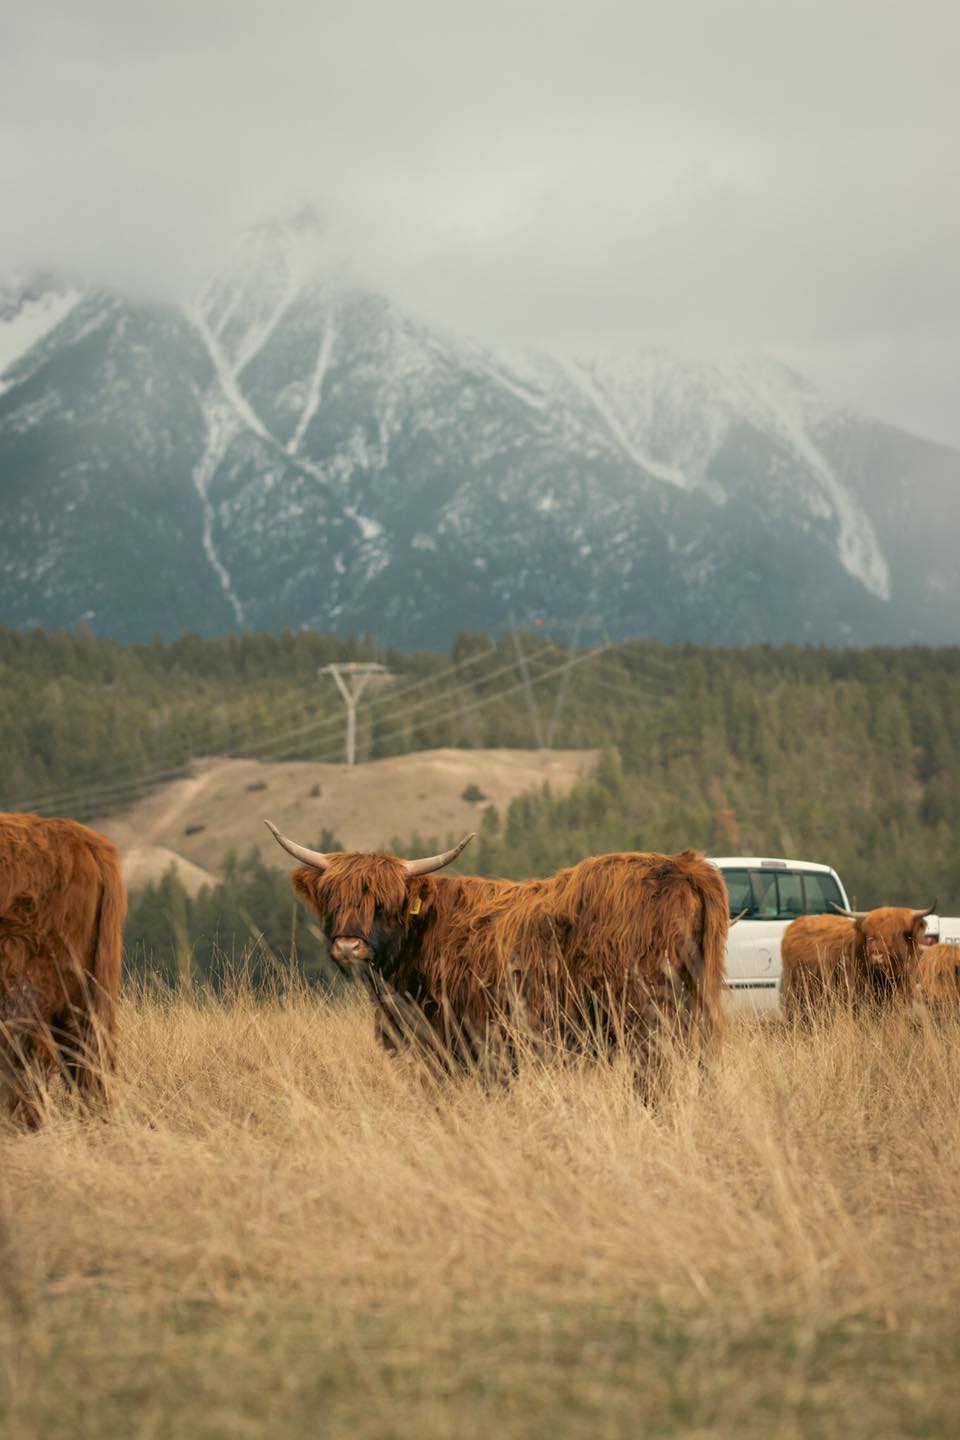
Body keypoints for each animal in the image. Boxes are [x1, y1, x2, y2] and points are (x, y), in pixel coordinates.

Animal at [265, 822, 729, 1076]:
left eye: (384, 903)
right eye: (333, 900)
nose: (348, 945)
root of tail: (683, 864)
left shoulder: (468, 1044)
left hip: (647, 1018)